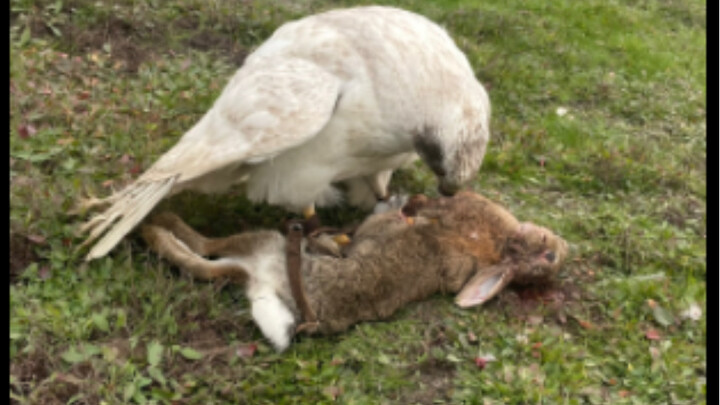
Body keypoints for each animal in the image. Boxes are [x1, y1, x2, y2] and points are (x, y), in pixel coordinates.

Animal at [141, 191, 568, 352]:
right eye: (549, 253)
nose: (563, 246)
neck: (499, 245)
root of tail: (269, 286)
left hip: (263, 243)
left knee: (202, 250)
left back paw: (155, 225)